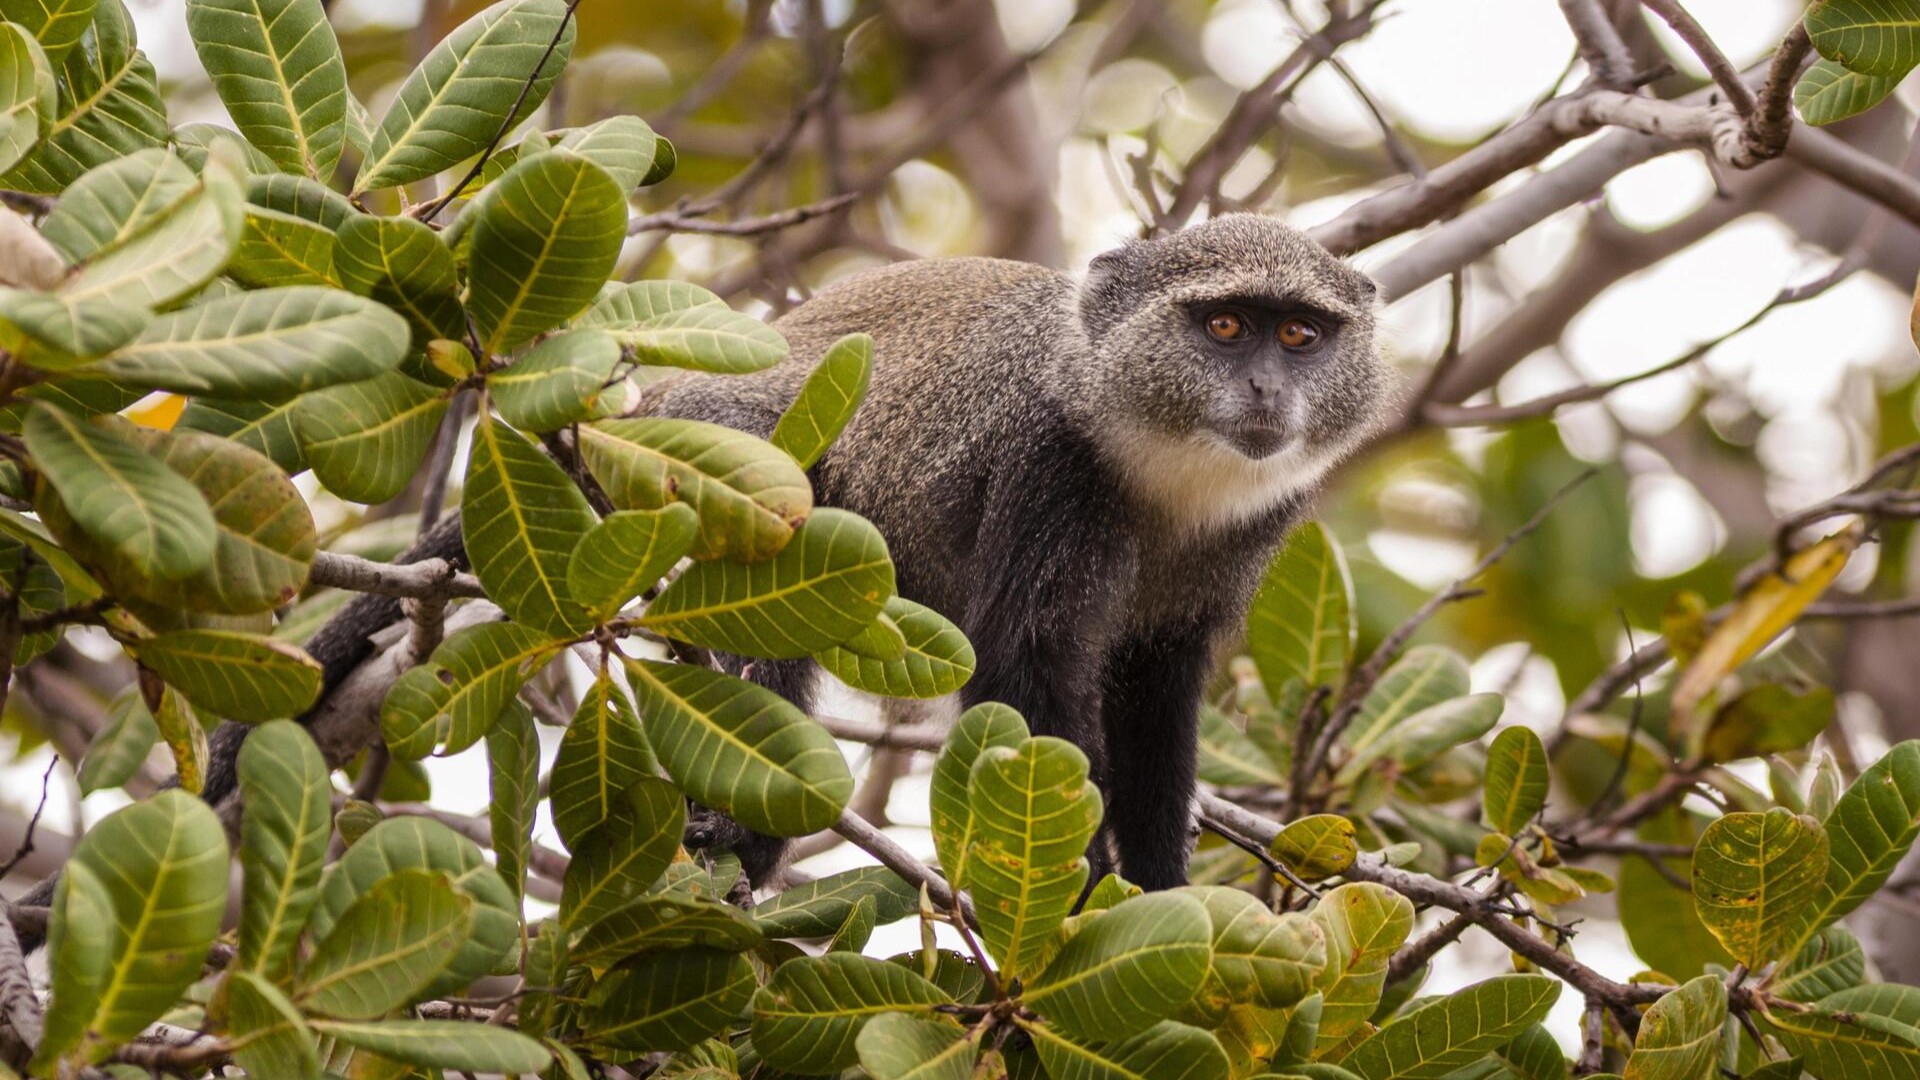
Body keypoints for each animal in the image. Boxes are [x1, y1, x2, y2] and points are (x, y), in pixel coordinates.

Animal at [660, 214, 1387, 890]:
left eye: (1299, 335)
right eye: (1226, 326)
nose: (1267, 387)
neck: (1161, 466)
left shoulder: (1251, 529)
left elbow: (1154, 694)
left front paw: (1159, 888)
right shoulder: (1046, 462)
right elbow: (1025, 664)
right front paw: (1080, 892)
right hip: (725, 449)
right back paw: (741, 837)